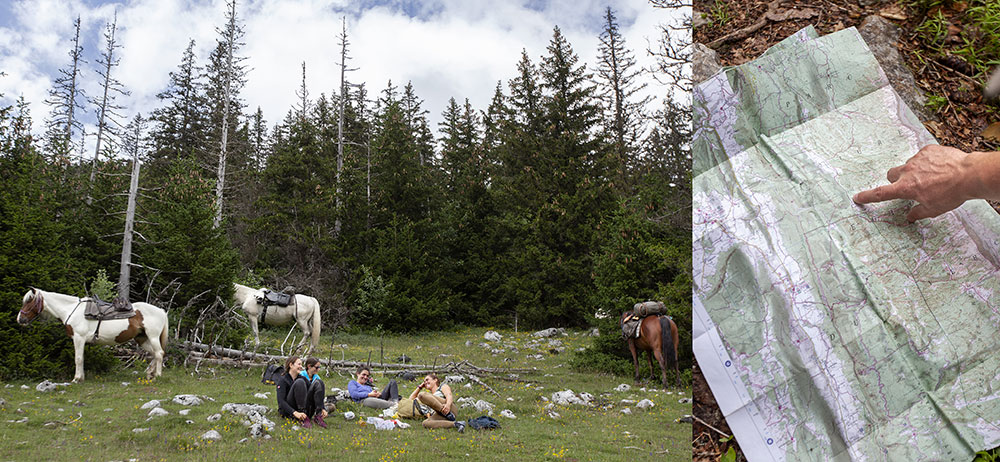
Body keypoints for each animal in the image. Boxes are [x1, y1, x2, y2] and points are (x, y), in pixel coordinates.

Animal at [16, 288, 169, 382]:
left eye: (29, 300)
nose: (20, 319)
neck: (71, 310)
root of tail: (161, 311)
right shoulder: (80, 340)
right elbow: (82, 358)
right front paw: (81, 377)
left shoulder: (78, 338)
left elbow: (78, 358)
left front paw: (76, 379)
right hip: (142, 338)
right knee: (155, 354)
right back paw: (150, 373)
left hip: (152, 336)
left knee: (159, 353)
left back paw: (158, 375)